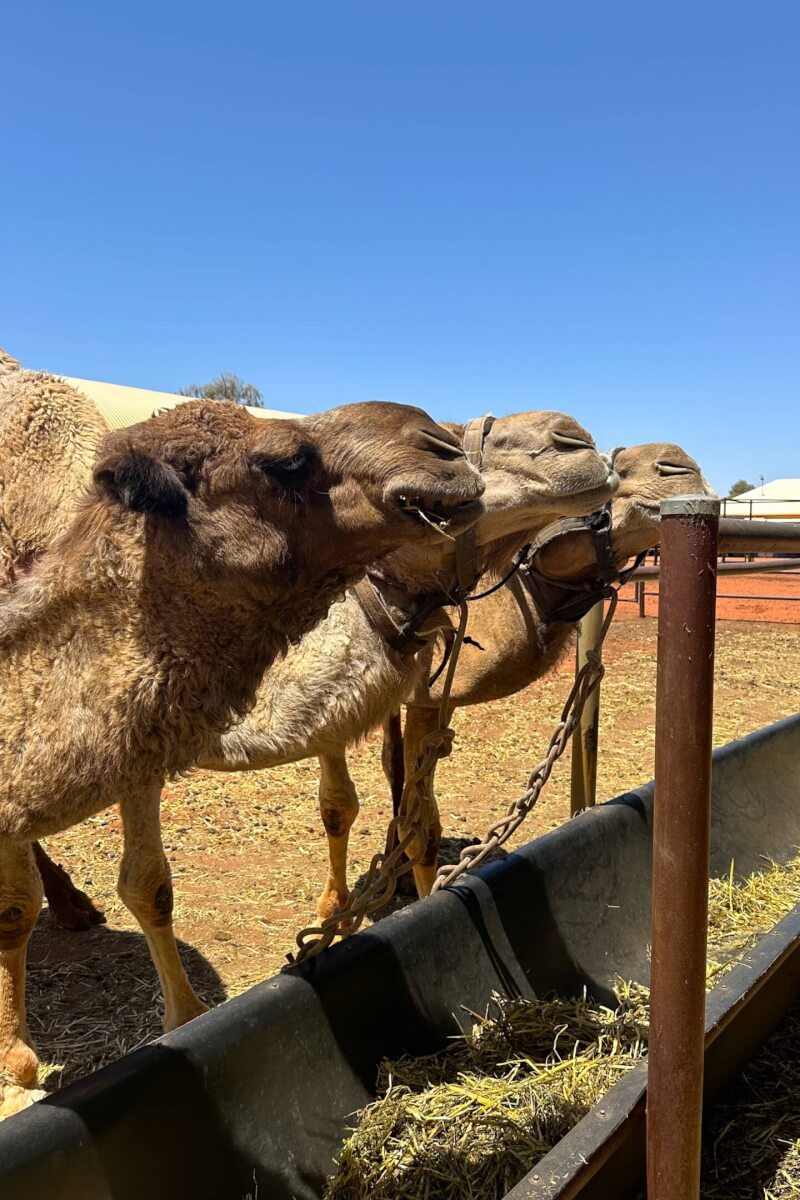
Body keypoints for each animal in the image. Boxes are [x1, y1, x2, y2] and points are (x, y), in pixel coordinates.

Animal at [0, 392, 485, 1112]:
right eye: (283, 460)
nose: (444, 448)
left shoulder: (136, 755)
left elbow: (146, 885)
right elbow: (17, 911)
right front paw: (19, 1065)